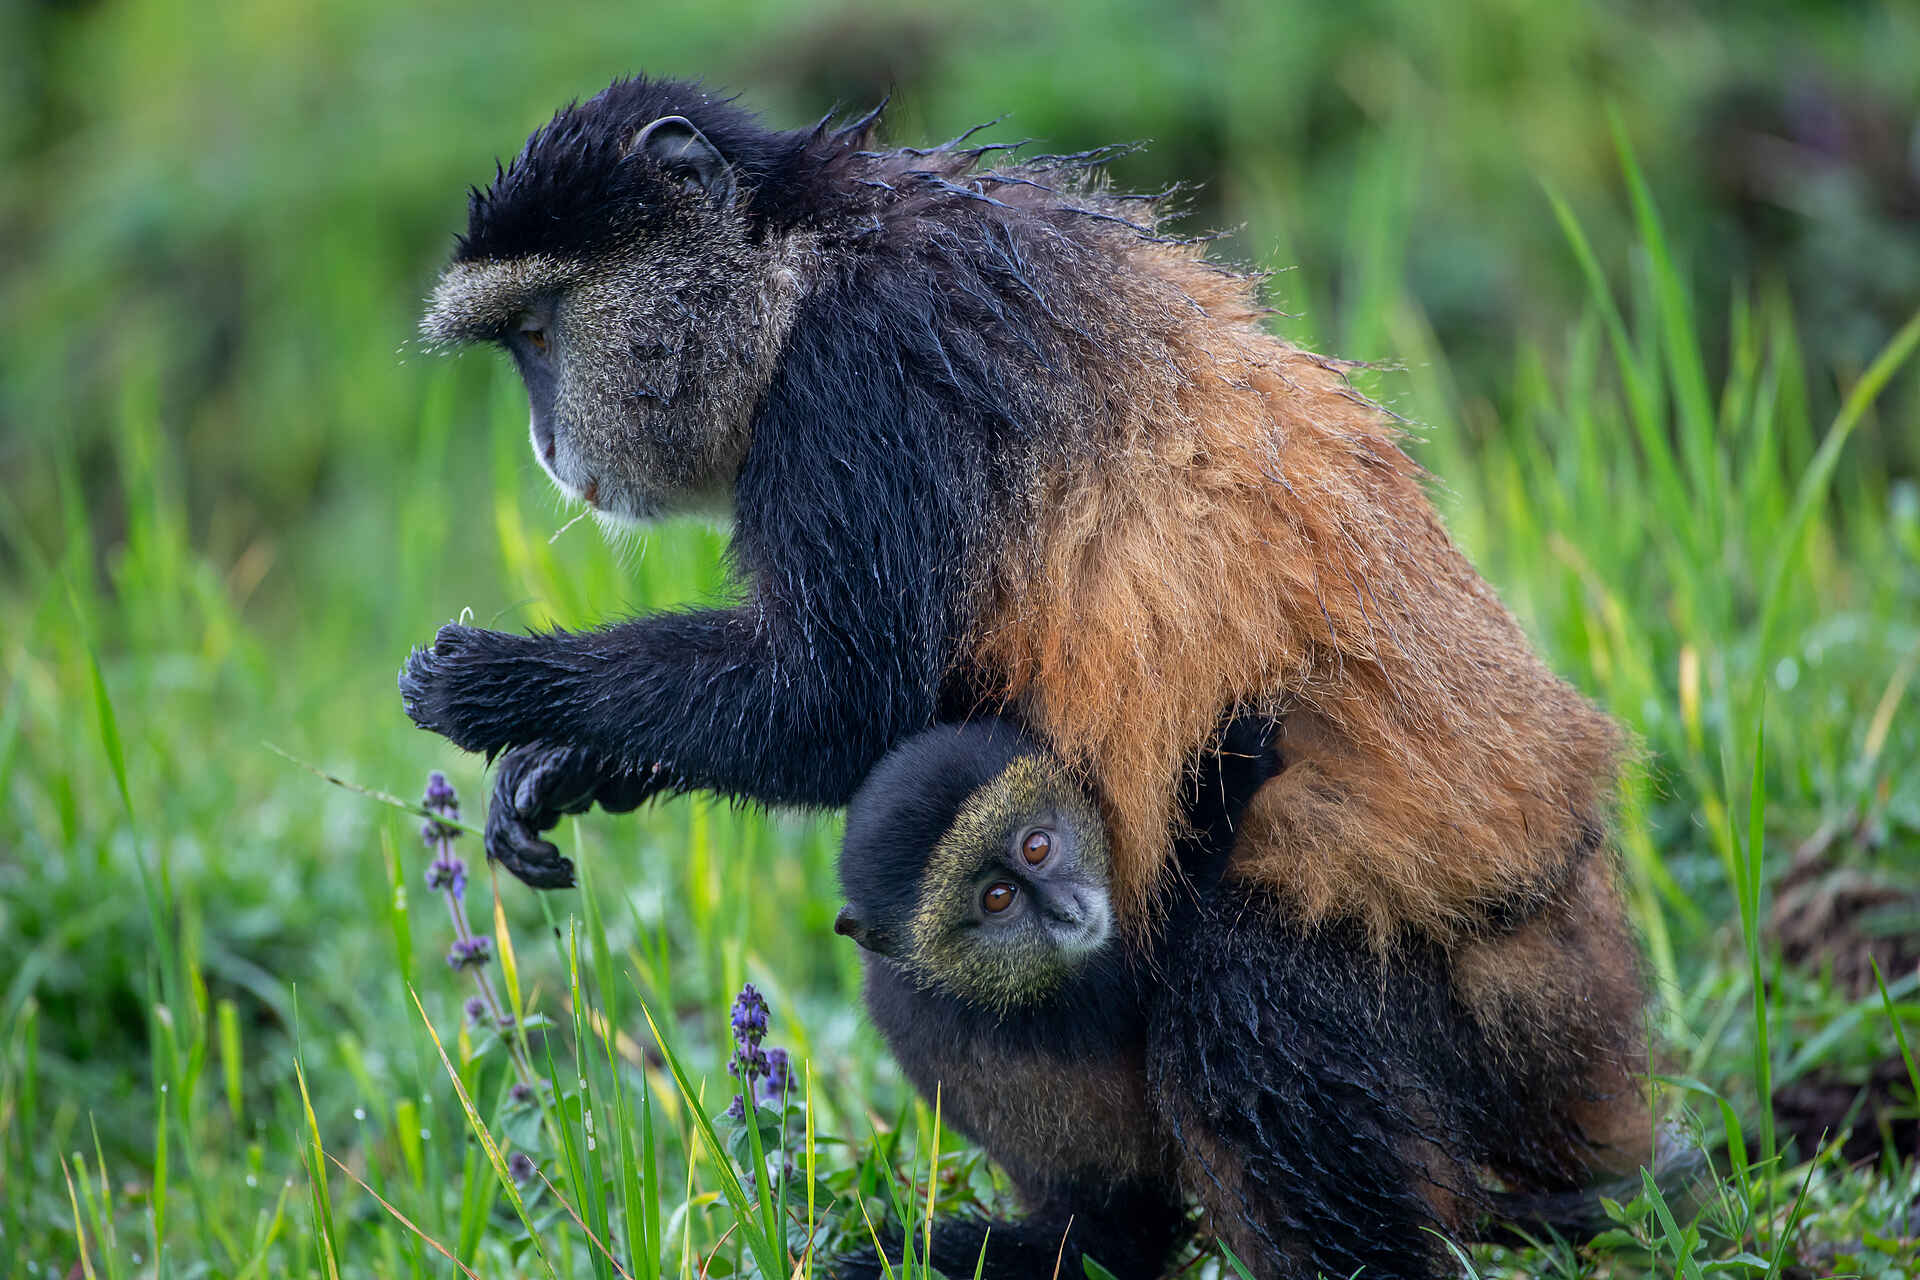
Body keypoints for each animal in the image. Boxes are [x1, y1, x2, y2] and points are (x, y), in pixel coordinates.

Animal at [401, 74, 1654, 1187]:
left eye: (540, 331)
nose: (546, 443)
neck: (802, 260)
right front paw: (568, 763)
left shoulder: (858, 376)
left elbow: (838, 702)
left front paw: (505, 686)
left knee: (1246, 1006)